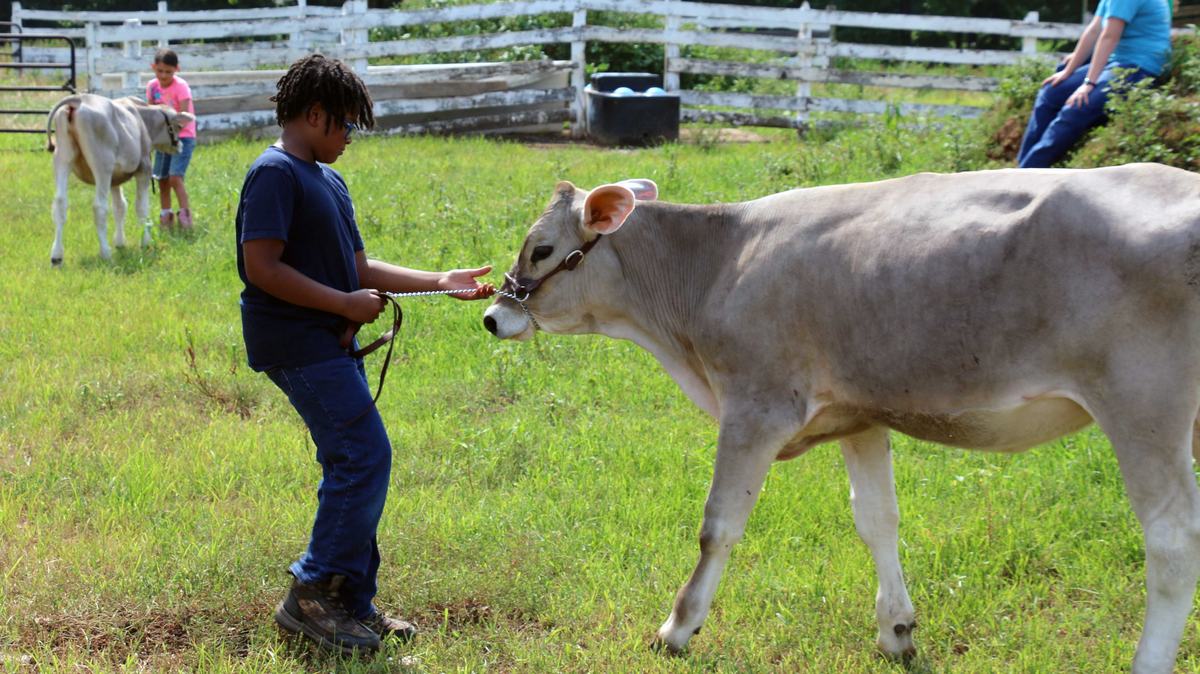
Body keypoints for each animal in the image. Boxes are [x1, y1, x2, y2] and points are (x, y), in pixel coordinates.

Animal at [45, 93, 194, 266]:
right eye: (179, 126)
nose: (180, 146)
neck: (142, 117)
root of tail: (78, 99)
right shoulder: (144, 168)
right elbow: (141, 207)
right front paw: (146, 242)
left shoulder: (115, 179)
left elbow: (120, 207)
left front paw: (120, 243)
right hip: (102, 164)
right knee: (99, 207)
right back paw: (105, 253)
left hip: (62, 158)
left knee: (60, 203)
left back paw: (56, 256)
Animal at [482, 164, 1200, 674]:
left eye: (542, 249)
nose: (493, 315)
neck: (715, 266)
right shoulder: (861, 415)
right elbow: (877, 520)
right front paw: (896, 631)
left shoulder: (756, 405)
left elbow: (718, 526)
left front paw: (677, 629)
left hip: (1144, 407)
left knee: (1173, 543)